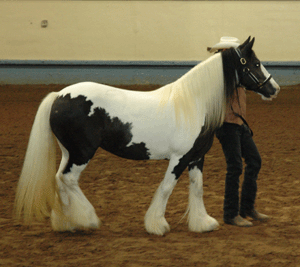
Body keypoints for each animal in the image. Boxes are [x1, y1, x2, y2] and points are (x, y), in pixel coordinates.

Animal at [15, 36, 280, 236]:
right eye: (255, 63)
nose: (274, 89)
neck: (193, 104)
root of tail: (59, 96)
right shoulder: (179, 159)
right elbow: (166, 188)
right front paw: (157, 225)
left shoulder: (196, 158)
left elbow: (197, 188)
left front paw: (202, 223)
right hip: (82, 153)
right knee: (67, 180)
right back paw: (87, 219)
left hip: (68, 152)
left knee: (59, 180)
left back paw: (67, 223)